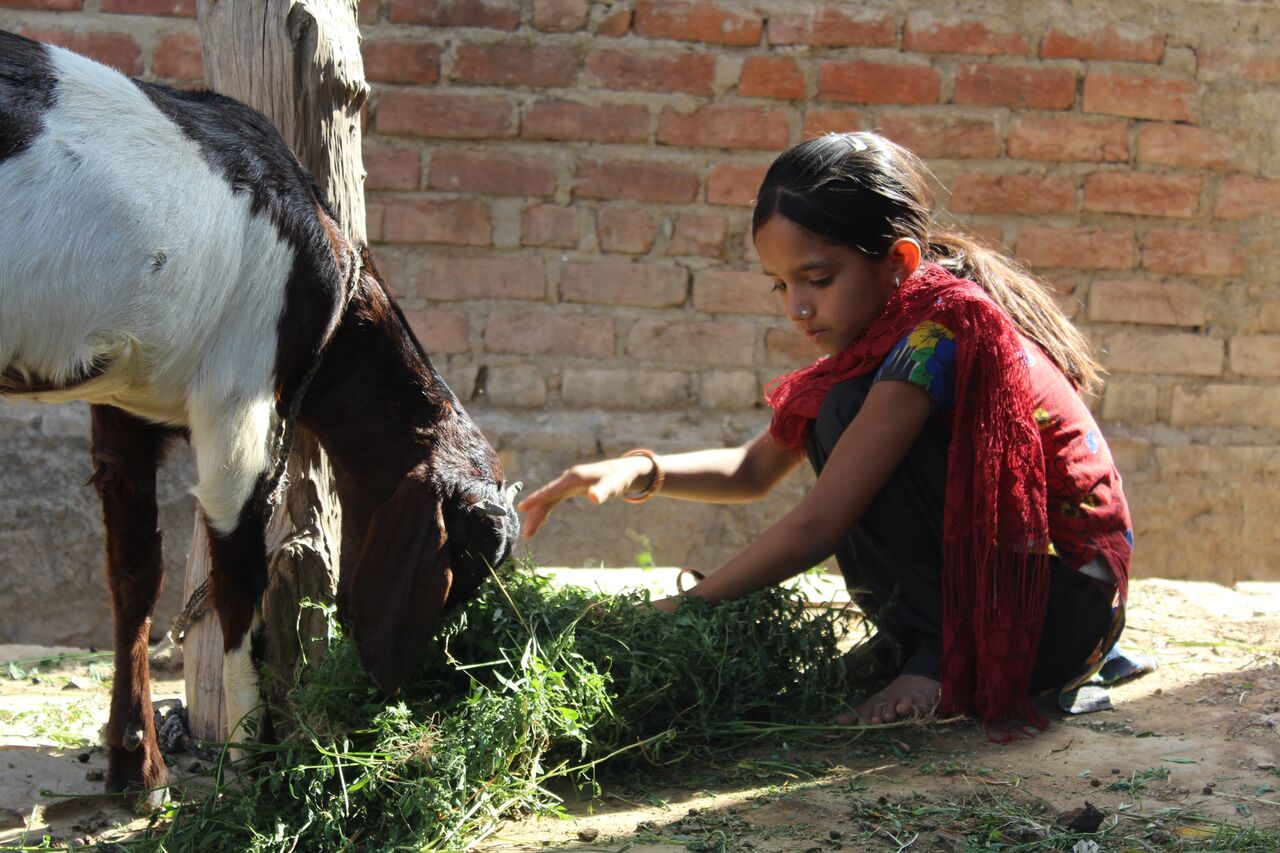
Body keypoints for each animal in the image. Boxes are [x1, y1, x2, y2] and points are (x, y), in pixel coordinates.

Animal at [1, 29, 519, 809]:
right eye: (460, 560)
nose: (399, 683)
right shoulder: (236, 398)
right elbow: (237, 575)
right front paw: (252, 757)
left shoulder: (121, 402)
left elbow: (134, 574)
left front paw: (136, 767)